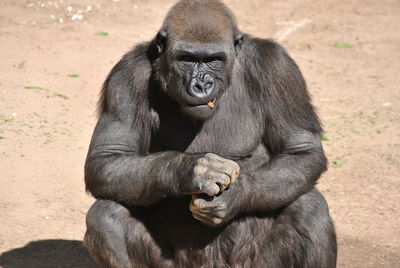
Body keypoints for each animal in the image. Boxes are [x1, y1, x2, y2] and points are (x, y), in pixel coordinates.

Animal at [84, 1, 338, 266]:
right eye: (186, 58)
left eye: (213, 59)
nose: (201, 85)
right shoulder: (126, 76)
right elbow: (107, 159)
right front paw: (192, 170)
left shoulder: (278, 67)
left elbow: (300, 150)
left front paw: (235, 195)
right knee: (106, 216)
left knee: (309, 209)